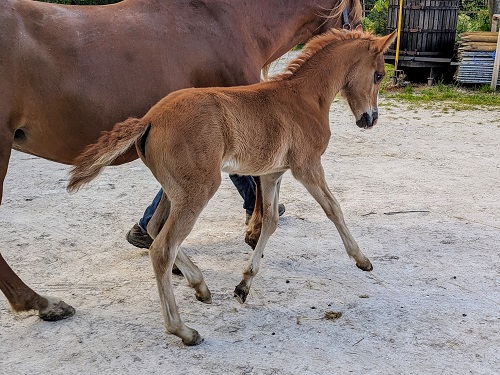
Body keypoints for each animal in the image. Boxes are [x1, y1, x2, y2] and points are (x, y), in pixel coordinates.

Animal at [0, 0, 362, 324]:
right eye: (355, 21)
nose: (366, 117)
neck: (231, 21)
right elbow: (251, 181)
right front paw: (254, 227)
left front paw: (150, 237)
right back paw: (44, 303)